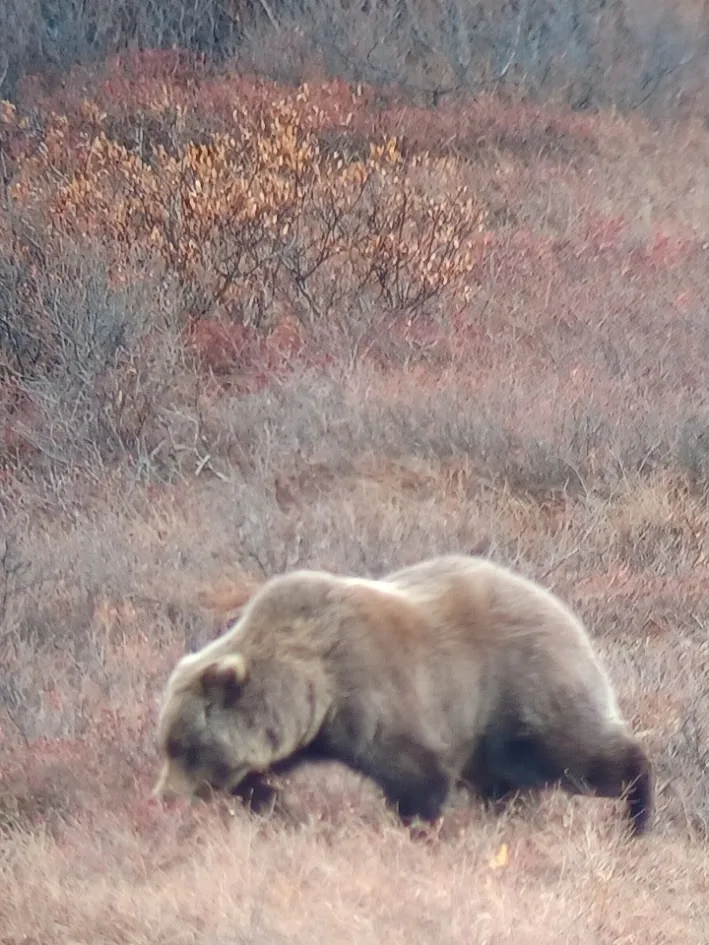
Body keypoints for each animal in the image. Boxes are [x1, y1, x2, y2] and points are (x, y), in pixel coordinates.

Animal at [153, 553, 653, 836]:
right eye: (167, 745)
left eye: (186, 745)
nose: (164, 797)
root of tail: (562, 607)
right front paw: (270, 802)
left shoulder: (378, 694)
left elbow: (415, 774)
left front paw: (418, 828)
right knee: (508, 782)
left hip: (520, 687)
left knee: (577, 754)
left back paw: (637, 813)